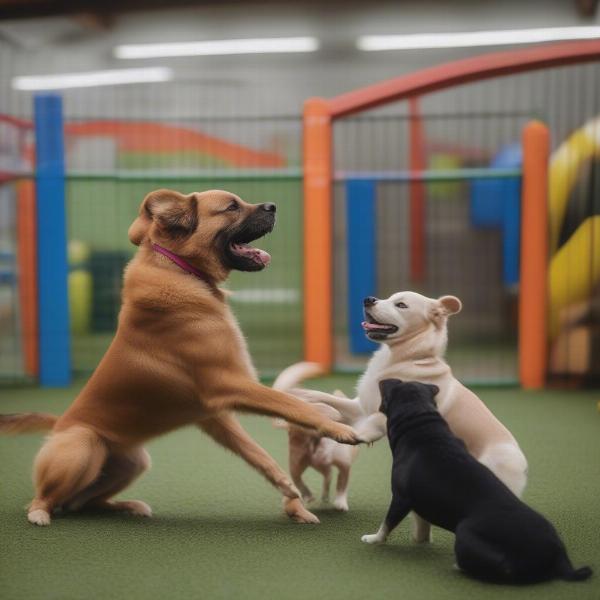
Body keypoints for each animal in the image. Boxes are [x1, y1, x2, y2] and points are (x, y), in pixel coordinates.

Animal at [1, 188, 360, 524]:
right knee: (46, 499)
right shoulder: (231, 385)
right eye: (231, 206)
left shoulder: (215, 416)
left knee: (81, 503)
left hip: (133, 462)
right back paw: (40, 513)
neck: (180, 270)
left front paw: (290, 492)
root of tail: (60, 424)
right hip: (82, 444)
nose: (273, 206)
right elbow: (294, 404)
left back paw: (128, 506)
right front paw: (337, 426)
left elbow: (259, 454)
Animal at [286, 292, 524, 544]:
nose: (368, 299)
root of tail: (522, 465)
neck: (406, 358)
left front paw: (348, 434)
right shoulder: (359, 407)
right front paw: (295, 395)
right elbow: (321, 398)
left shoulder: (387, 412)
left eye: (401, 304)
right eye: (388, 298)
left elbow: (367, 425)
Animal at [364, 382, 592, 584]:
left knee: (508, 571)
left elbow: (387, 523)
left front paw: (374, 539)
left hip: (464, 530)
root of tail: (559, 554)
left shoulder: (401, 498)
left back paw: (461, 566)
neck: (423, 425)